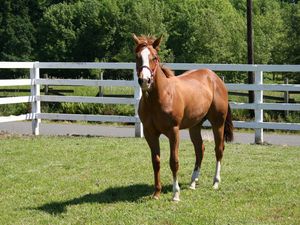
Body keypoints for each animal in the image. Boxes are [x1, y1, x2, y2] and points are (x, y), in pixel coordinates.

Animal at [134, 33, 234, 202]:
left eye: (154, 57)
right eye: (137, 57)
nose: (145, 81)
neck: (160, 97)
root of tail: (215, 78)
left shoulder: (174, 131)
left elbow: (174, 162)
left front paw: (176, 194)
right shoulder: (150, 133)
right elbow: (156, 161)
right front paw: (156, 193)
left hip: (218, 123)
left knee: (219, 149)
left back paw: (215, 182)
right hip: (195, 126)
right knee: (200, 149)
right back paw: (193, 182)